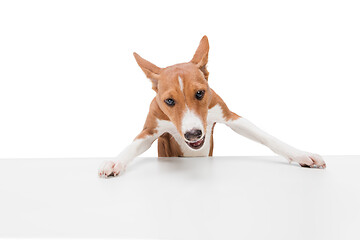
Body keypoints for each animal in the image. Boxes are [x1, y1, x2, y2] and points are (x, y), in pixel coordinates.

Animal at [97, 36, 326, 178]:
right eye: (169, 101)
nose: (193, 134)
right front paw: (114, 162)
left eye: (200, 93)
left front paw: (300, 154)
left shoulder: (231, 116)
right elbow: (132, 146)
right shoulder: (151, 130)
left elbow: (266, 137)